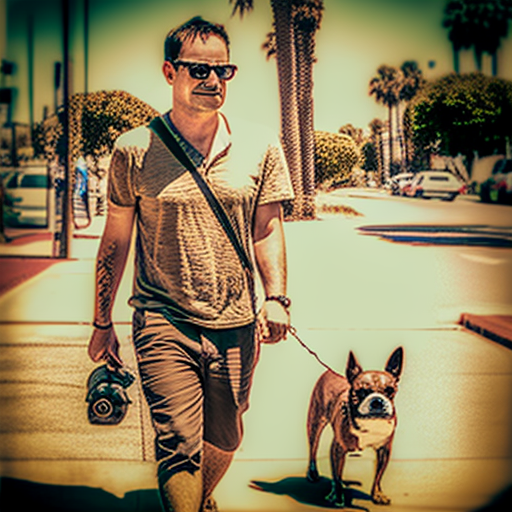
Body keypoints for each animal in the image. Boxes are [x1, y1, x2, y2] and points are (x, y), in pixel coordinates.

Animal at [306, 346, 402, 506]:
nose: (377, 401)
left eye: (390, 390)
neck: (370, 422)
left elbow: (378, 476)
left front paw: (377, 494)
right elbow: (337, 476)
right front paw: (338, 496)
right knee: (313, 448)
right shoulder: (338, 449)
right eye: (361, 392)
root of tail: (329, 371)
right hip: (315, 423)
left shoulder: (384, 450)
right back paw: (312, 473)